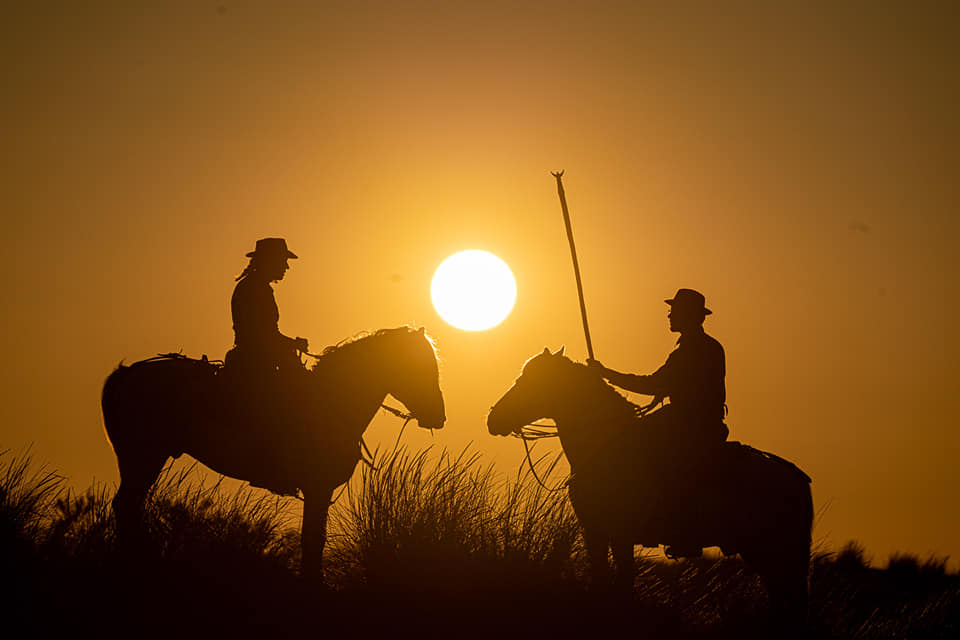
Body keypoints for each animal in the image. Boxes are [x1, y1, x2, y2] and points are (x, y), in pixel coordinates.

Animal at [101, 328, 446, 576]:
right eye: (419, 365)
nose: (438, 416)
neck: (332, 400)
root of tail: (126, 373)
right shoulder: (318, 488)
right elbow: (312, 539)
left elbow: (314, 538)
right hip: (143, 455)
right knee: (126, 505)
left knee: (128, 505)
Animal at [488, 348, 808, 624]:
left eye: (531, 380)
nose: (493, 419)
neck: (605, 446)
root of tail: (795, 476)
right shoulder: (595, 530)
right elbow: (603, 578)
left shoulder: (619, 533)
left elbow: (622, 579)